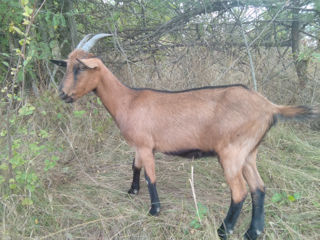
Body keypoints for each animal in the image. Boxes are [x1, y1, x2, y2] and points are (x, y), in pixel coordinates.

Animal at [50, 33, 318, 240]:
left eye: (80, 67)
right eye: (67, 65)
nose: (62, 94)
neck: (128, 100)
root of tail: (270, 107)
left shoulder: (146, 145)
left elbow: (150, 177)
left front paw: (154, 210)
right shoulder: (138, 146)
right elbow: (135, 166)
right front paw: (132, 191)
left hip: (231, 152)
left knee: (240, 192)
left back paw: (224, 230)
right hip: (249, 152)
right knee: (258, 188)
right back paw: (253, 232)